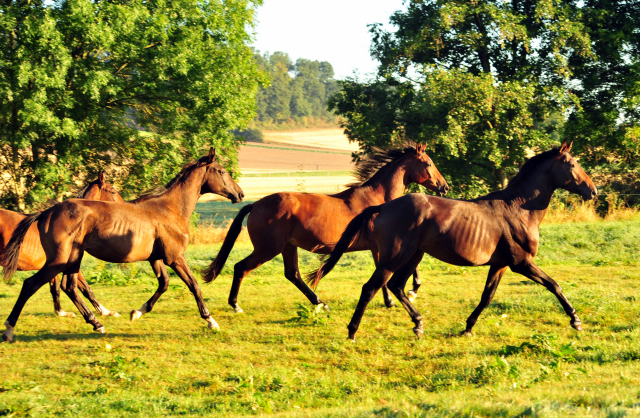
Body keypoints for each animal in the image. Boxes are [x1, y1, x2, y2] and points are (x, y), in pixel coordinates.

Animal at [202, 142, 448, 312]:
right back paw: (235, 305)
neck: (378, 201)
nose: (444, 187)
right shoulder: (382, 245)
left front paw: (407, 292)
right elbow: (387, 274)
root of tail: (255, 205)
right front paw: (402, 295)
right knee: (241, 268)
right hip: (267, 249)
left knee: (293, 275)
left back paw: (320, 303)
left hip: (287, 247)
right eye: (428, 163)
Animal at [310, 140, 600, 340]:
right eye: (572, 164)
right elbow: (554, 285)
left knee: (397, 286)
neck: (518, 209)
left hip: (413, 256)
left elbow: (487, 296)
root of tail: (382, 207)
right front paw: (575, 320)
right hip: (394, 257)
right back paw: (352, 332)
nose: (594, 191)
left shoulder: (500, 265)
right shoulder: (521, 263)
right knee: (371, 288)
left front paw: (468, 328)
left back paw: (418, 325)